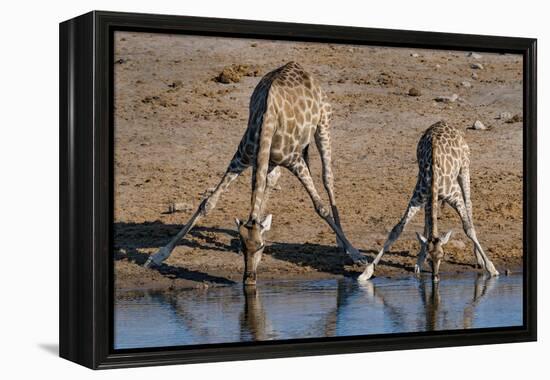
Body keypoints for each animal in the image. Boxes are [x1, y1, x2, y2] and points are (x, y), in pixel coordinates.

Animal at [144, 60, 364, 284]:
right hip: (270, 160)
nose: (249, 279)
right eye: (243, 248)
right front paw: (158, 256)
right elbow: (208, 203)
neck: (267, 123)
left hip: (323, 123)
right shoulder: (242, 158)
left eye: (261, 246)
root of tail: (299, 66)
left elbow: (320, 208)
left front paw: (356, 254)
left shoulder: (294, 161)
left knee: (327, 177)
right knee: (272, 179)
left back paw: (341, 242)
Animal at [360, 121, 502, 282]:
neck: (434, 179)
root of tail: (444, 122)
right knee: (428, 219)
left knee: (469, 204)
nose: (435, 278)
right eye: (430, 258)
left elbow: (468, 229)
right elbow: (397, 229)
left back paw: (479, 259)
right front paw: (367, 272)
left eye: (442, 256)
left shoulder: (456, 197)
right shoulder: (418, 198)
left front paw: (491, 268)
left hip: (464, 169)